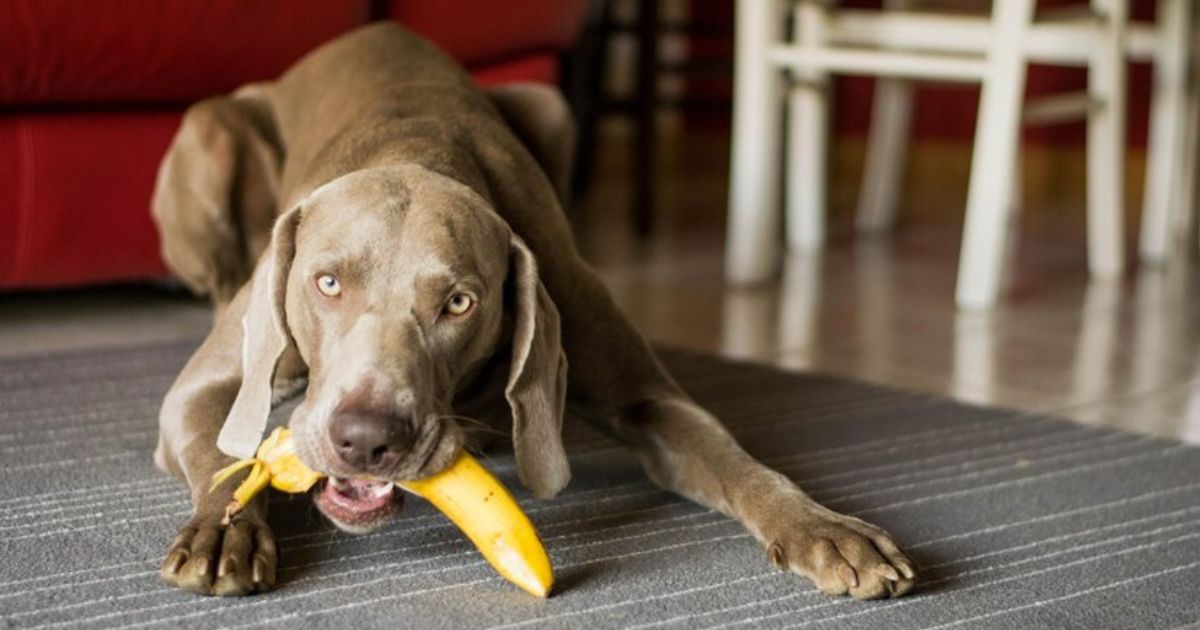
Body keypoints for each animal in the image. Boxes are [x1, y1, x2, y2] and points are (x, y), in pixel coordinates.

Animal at [152, 24, 916, 600]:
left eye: (459, 303)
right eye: (328, 283)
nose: (367, 440)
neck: (416, 151)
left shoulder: (643, 391)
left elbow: (737, 460)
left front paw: (823, 528)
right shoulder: (202, 390)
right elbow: (224, 456)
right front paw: (224, 531)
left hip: (550, 103)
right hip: (210, 132)